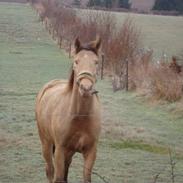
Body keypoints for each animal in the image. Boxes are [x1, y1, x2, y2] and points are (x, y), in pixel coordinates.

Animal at [35, 37, 101, 183]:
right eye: (76, 61)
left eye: (96, 62)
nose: (86, 88)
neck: (80, 117)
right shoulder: (60, 150)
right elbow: (58, 177)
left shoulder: (90, 151)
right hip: (46, 143)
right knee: (50, 170)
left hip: (69, 152)